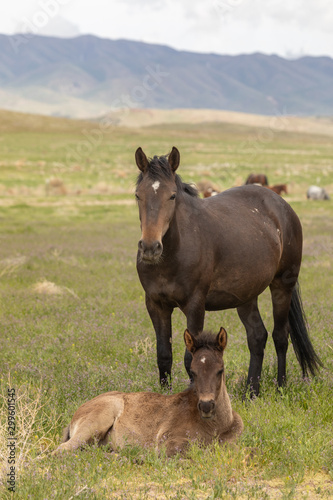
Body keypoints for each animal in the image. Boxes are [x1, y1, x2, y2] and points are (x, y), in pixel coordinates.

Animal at [53, 328, 243, 458]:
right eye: (193, 371)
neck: (217, 426)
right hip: (97, 420)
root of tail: (77, 413)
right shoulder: (168, 441)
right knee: (63, 450)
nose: (206, 406)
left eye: (220, 370)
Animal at [134, 146, 320, 396]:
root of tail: (282, 205)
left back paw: (280, 386)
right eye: (138, 195)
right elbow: (164, 356)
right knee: (257, 336)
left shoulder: (195, 306)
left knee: (280, 336)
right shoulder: (156, 306)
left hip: (283, 285)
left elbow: (189, 358)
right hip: (246, 295)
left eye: (172, 196)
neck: (171, 256)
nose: (150, 247)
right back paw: (252, 391)